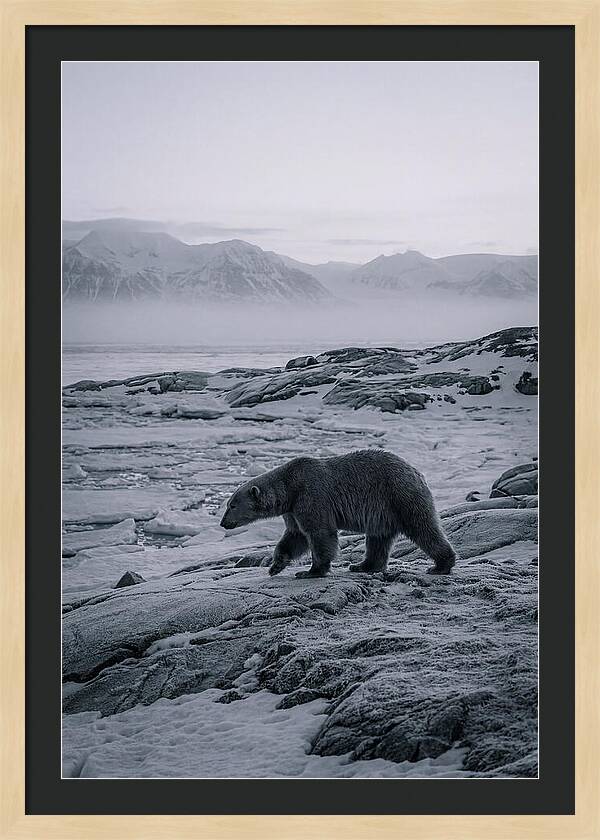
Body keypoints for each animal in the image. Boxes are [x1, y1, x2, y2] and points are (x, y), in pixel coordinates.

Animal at [219, 449, 456, 579]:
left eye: (231, 505)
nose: (223, 523)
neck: (290, 487)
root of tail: (417, 472)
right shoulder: (293, 509)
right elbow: (295, 536)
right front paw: (275, 565)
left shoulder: (311, 495)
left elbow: (319, 533)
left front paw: (311, 571)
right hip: (383, 511)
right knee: (378, 539)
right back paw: (362, 565)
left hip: (400, 495)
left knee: (423, 527)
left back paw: (441, 565)